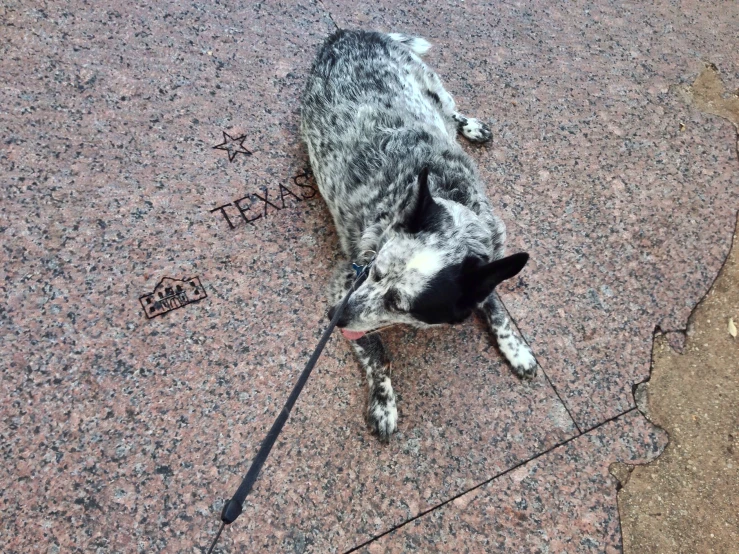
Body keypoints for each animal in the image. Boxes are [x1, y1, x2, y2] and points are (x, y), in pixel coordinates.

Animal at [300, 32, 536, 442]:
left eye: (399, 304)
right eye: (373, 272)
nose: (334, 316)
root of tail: (346, 33)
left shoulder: (486, 260)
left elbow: (495, 307)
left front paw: (515, 348)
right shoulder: (345, 279)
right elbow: (377, 353)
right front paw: (383, 403)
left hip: (433, 87)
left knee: (450, 111)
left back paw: (471, 126)